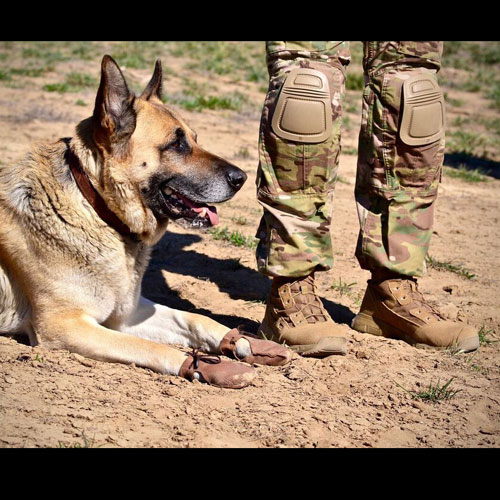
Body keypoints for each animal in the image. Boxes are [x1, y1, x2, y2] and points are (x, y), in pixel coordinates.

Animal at [0, 55, 292, 390]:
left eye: (195, 139)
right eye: (177, 145)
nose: (242, 179)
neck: (98, 209)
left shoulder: (128, 314)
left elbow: (195, 318)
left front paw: (241, 341)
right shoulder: (63, 326)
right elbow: (148, 346)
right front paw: (202, 366)